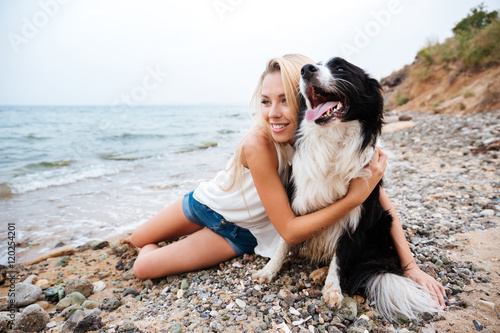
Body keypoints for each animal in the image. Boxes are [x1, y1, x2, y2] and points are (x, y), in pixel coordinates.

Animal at [254, 56, 442, 320]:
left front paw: (333, 290)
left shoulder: (355, 216)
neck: (332, 140)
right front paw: (269, 270)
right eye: (311, 65)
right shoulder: (296, 198)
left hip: (381, 223)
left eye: (341, 68)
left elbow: (341, 257)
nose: (306, 70)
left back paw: (322, 274)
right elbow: (284, 240)